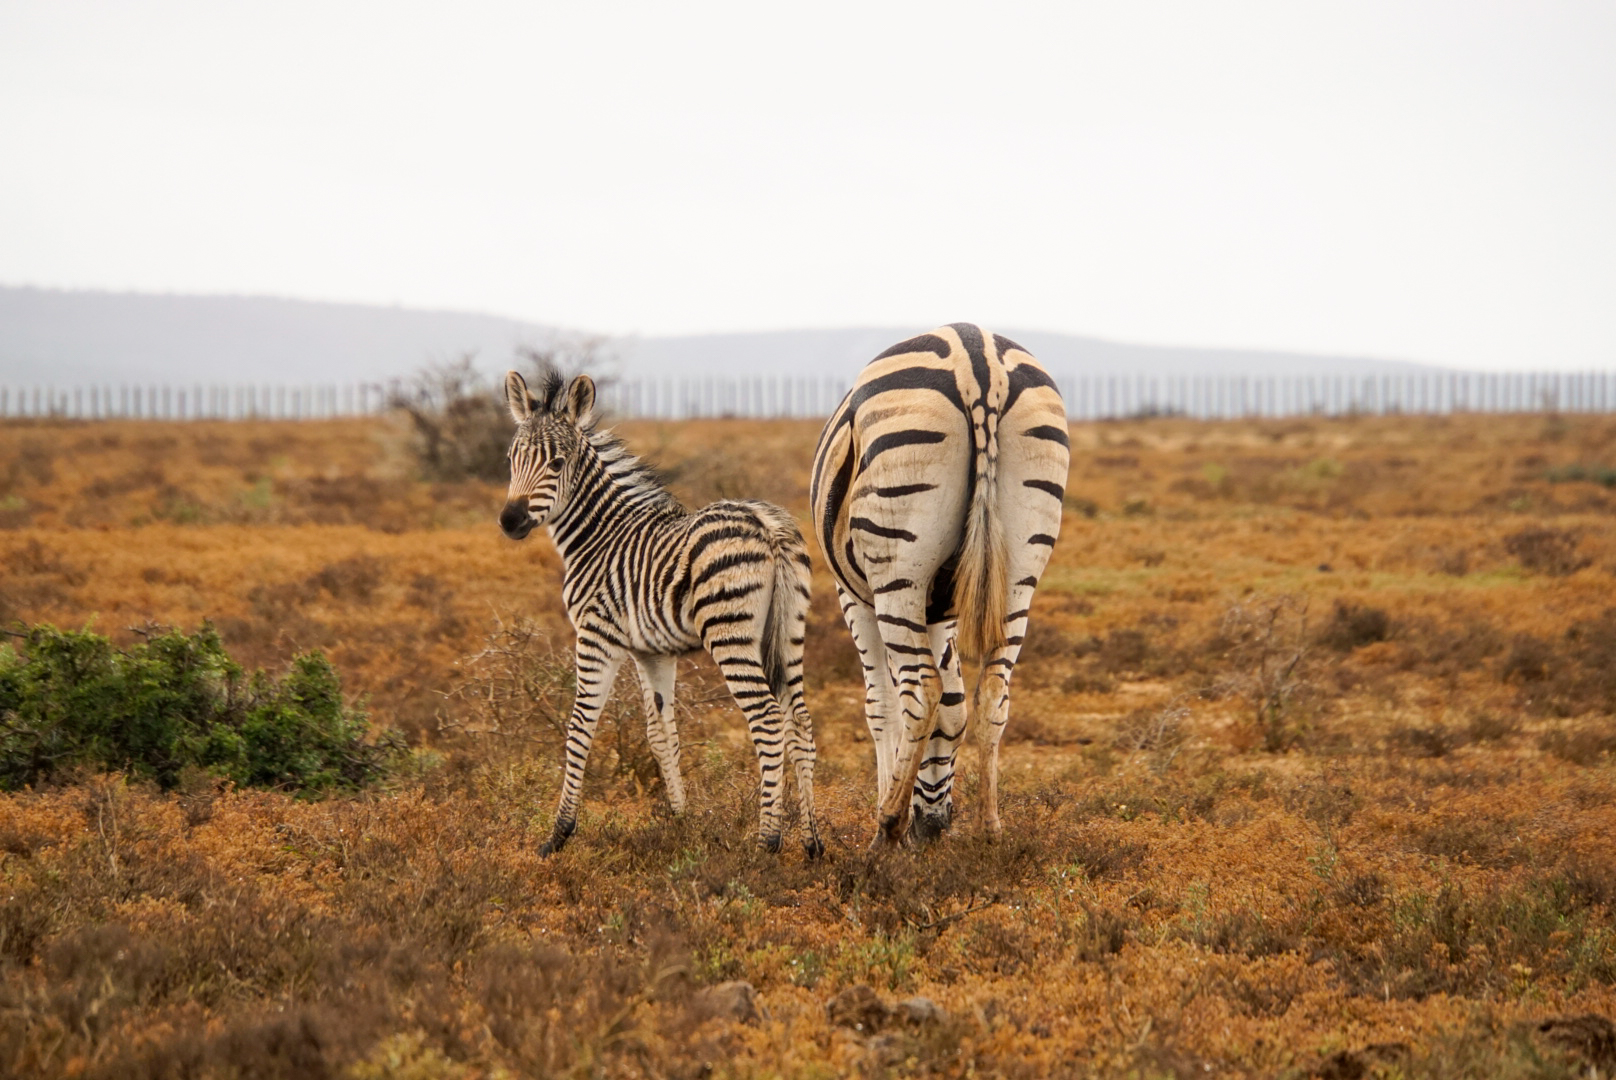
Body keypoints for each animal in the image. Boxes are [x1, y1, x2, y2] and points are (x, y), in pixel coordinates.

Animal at [497, 371, 820, 860]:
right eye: (513, 459)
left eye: (556, 464)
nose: (510, 521)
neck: (599, 536)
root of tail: (766, 524)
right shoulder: (652, 653)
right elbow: (661, 731)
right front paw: (681, 821)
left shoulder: (596, 635)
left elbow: (580, 724)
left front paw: (559, 833)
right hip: (790, 632)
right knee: (799, 720)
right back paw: (813, 842)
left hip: (730, 633)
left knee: (767, 718)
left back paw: (767, 841)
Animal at [808, 324, 1073, 847]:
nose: (932, 828)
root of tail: (978, 359)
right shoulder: (941, 612)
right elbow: (955, 702)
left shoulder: (855, 596)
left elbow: (881, 705)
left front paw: (889, 806)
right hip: (1023, 561)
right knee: (993, 691)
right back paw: (990, 830)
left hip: (898, 560)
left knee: (920, 690)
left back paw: (885, 831)